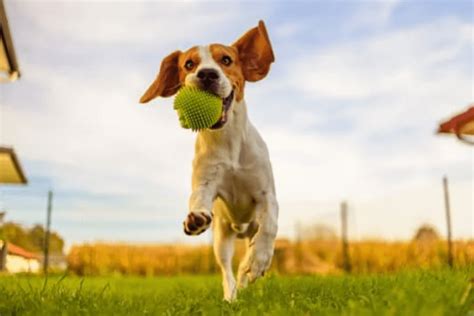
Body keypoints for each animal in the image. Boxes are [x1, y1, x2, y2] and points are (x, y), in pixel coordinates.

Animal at [139, 20, 278, 302]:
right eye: (189, 64)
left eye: (226, 60)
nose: (206, 74)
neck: (228, 142)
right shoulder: (205, 183)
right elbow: (198, 199)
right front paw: (195, 218)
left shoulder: (267, 195)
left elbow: (269, 225)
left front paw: (259, 260)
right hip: (222, 239)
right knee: (227, 272)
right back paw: (231, 296)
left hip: (249, 228)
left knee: (249, 250)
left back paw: (250, 265)